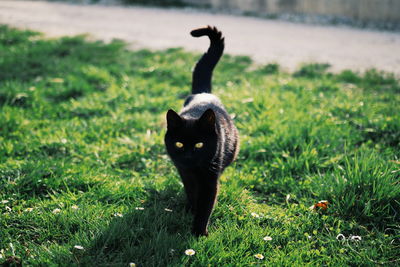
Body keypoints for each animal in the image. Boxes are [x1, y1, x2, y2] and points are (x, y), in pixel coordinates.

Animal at [164, 26, 239, 237]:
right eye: (179, 143)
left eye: (199, 144)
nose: (189, 155)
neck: (194, 169)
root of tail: (202, 93)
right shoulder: (184, 172)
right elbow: (191, 192)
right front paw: (191, 209)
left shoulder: (209, 179)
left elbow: (206, 205)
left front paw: (198, 232)